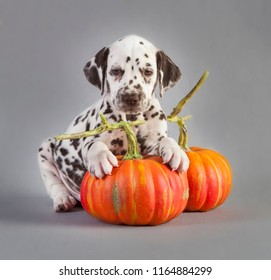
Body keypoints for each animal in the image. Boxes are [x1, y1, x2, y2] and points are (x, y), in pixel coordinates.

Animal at [37, 35, 189, 211]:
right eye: (115, 71)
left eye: (148, 72)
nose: (131, 97)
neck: (131, 119)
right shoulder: (91, 139)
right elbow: (94, 145)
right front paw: (101, 157)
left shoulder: (151, 144)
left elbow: (165, 140)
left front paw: (176, 151)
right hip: (46, 148)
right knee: (54, 183)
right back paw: (63, 199)